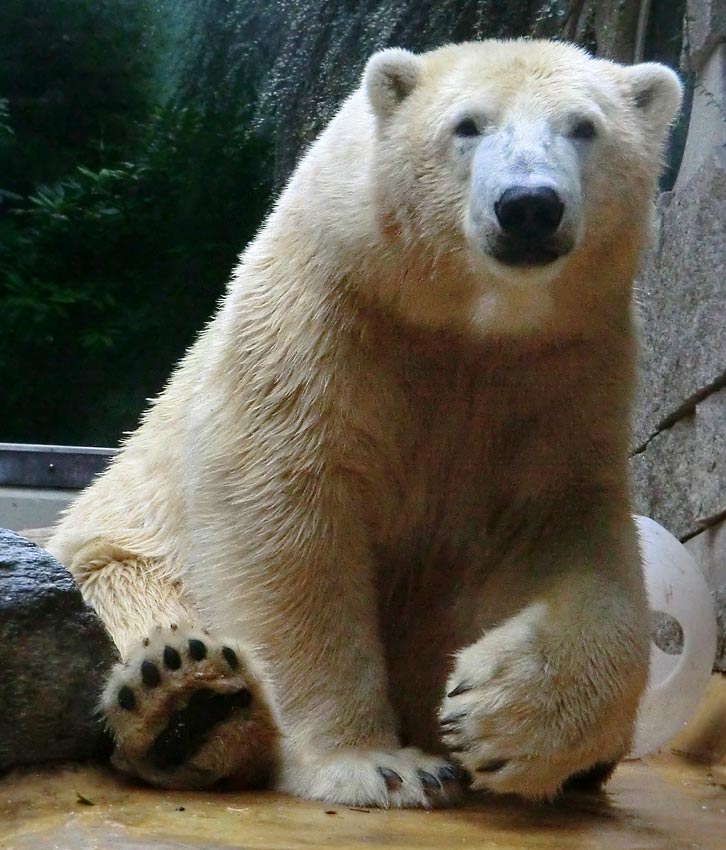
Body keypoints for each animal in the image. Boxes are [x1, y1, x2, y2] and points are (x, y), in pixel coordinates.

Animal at [48, 39, 684, 804]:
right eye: (467, 125)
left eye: (585, 127)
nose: (528, 205)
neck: (466, 324)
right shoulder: (323, 320)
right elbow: (286, 516)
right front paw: (377, 765)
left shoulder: (563, 373)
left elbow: (571, 537)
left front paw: (499, 714)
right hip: (115, 553)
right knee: (127, 591)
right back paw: (187, 700)